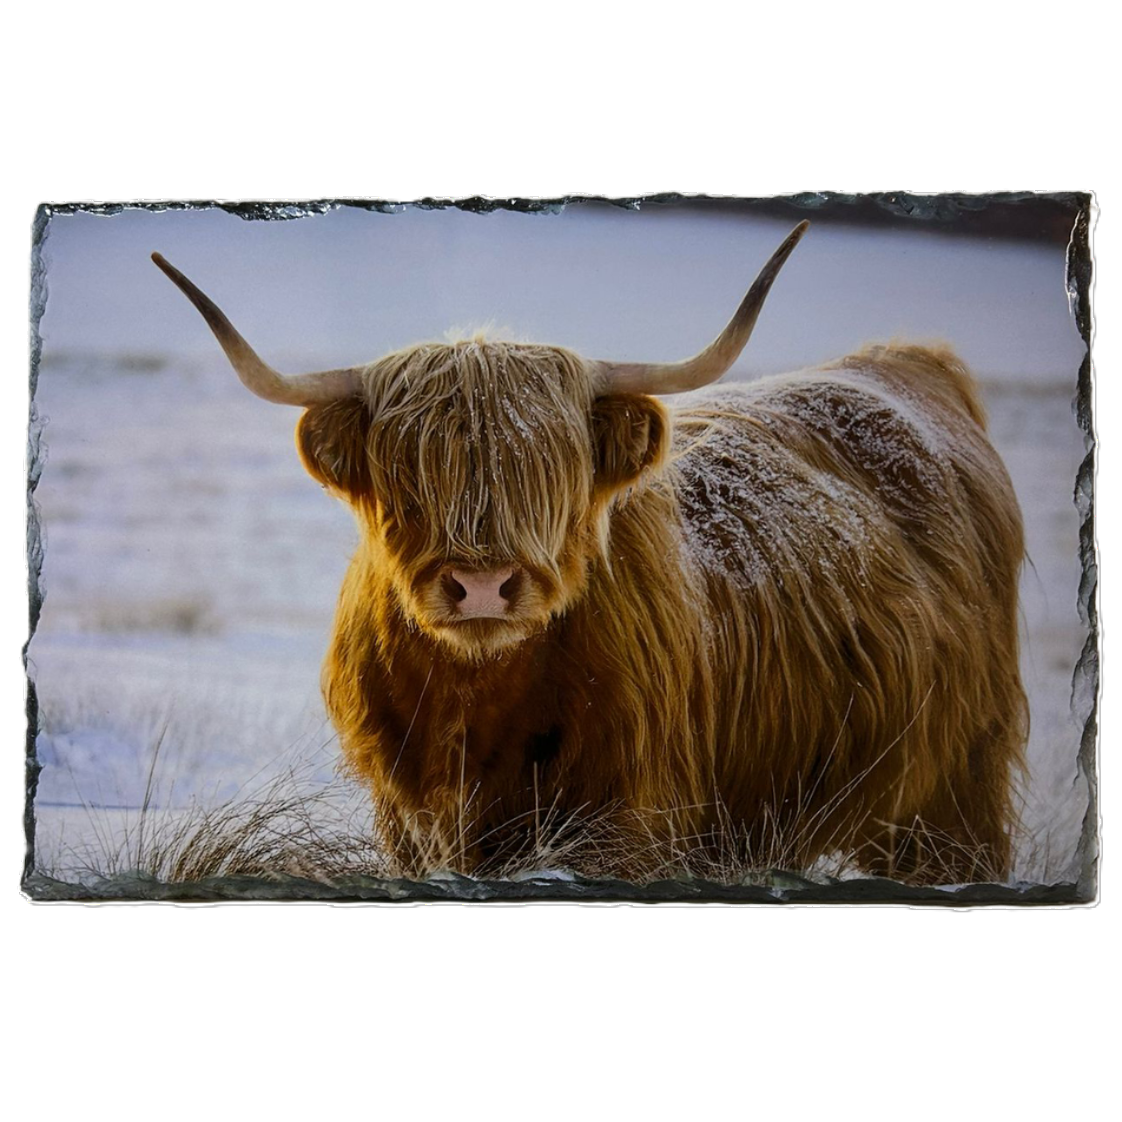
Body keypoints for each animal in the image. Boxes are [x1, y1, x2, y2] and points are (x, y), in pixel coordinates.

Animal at [152, 222, 1028, 884]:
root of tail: (907, 361)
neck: (477, 705)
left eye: (553, 473)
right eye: (410, 475)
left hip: (955, 791)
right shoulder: (406, 819)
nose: (481, 587)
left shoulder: (626, 820)